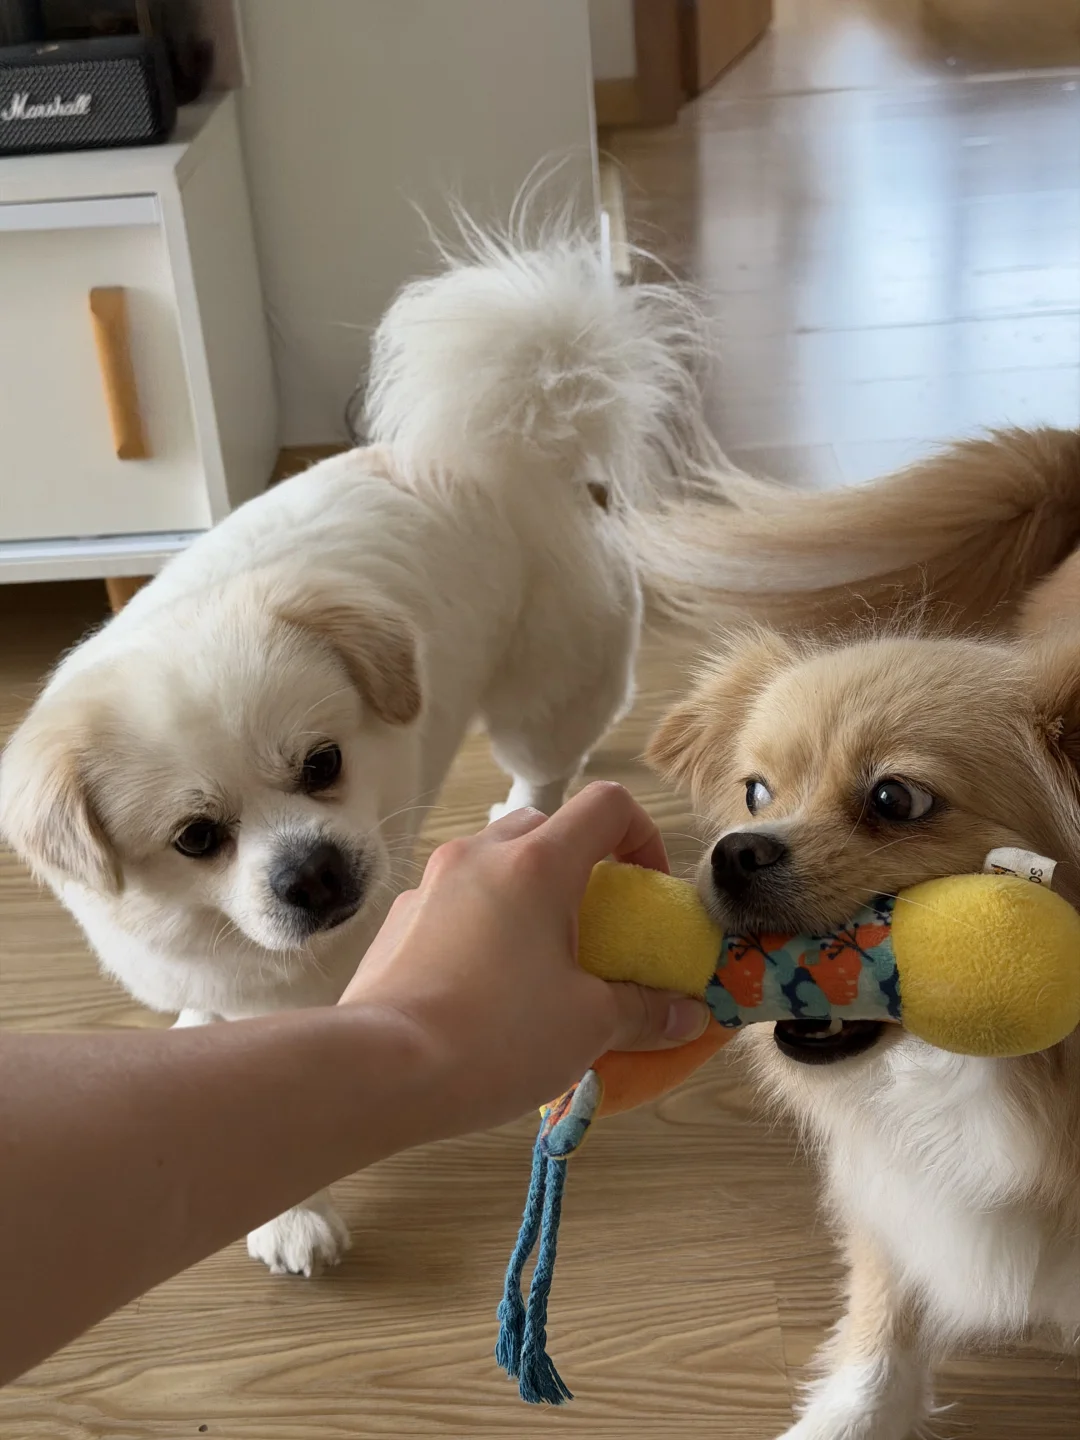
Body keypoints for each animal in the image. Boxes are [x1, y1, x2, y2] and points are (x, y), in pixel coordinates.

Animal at [0, 232, 731, 1278]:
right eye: (196, 838)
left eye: (322, 766)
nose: (313, 873)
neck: (223, 936)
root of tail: (519, 448)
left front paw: (292, 1220)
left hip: (538, 703)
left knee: (552, 758)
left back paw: (527, 810)